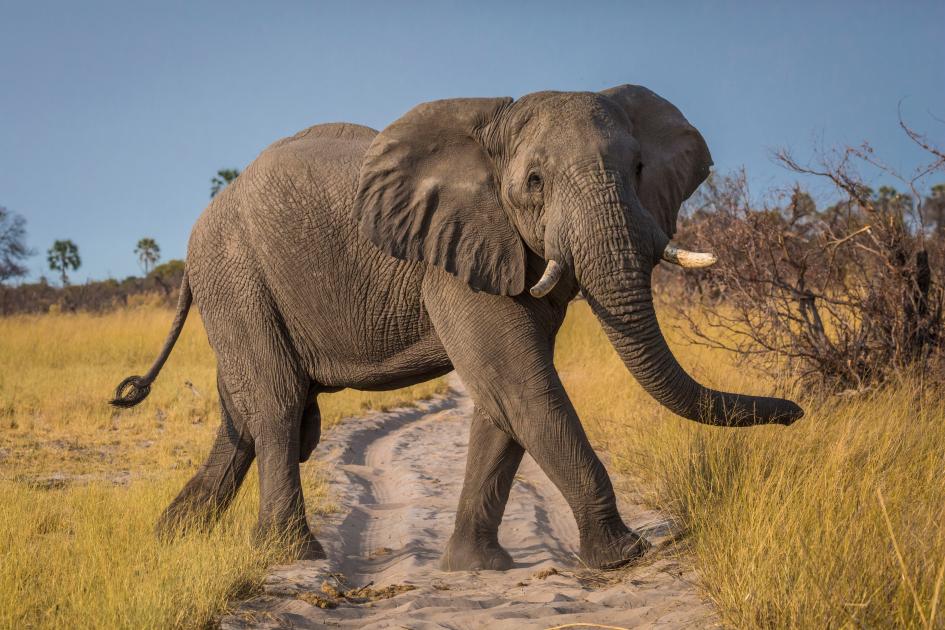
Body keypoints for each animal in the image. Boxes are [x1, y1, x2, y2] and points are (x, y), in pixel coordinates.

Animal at [112, 86, 804, 576]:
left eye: (638, 169)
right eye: (534, 182)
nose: (797, 413)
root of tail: (201, 225)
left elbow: (502, 400)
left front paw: (476, 567)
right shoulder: (455, 252)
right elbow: (522, 383)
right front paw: (624, 556)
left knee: (245, 413)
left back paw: (172, 538)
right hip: (236, 271)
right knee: (279, 404)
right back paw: (291, 554)